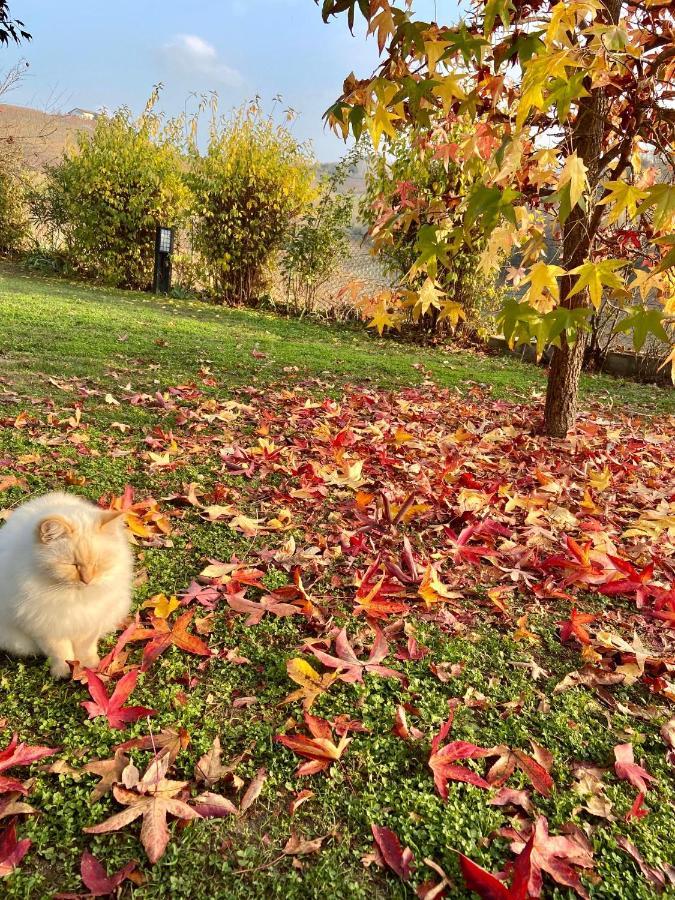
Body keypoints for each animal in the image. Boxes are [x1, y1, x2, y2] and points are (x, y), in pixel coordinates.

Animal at [0, 492, 133, 676]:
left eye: (96, 564)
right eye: (73, 565)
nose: (87, 580)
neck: (74, 598)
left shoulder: (91, 622)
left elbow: (85, 647)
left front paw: (89, 666)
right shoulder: (45, 627)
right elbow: (60, 653)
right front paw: (63, 672)